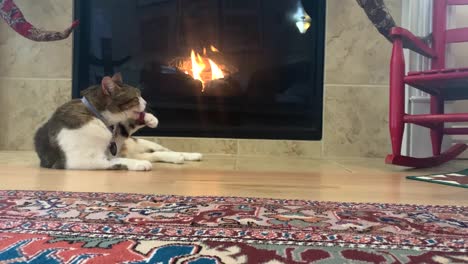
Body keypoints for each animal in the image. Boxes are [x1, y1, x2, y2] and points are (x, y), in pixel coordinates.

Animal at [33, 72, 201, 171]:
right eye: (135, 98)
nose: (146, 102)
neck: (97, 117)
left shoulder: (117, 139)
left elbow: (126, 126)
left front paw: (150, 118)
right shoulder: (82, 160)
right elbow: (117, 161)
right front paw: (139, 165)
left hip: (143, 143)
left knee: (163, 150)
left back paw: (190, 155)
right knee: (151, 155)